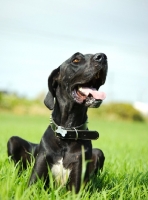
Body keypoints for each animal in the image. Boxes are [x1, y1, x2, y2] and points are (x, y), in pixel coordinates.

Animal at [7, 52, 107, 193]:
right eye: (76, 60)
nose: (102, 57)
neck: (66, 134)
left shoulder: (75, 186)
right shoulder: (34, 181)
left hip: (99, 153)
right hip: (13, 140)